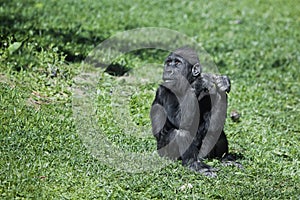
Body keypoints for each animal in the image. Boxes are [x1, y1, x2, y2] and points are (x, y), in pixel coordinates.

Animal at [150, 46, 232, 175]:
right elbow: (179, 120)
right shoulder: (165, 90)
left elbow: (214, 125)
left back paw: (224, 160)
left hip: (203, 155)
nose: (169, 70)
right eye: (168, 63)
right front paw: (201, 82)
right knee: (180, 133)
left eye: (177, 63)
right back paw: (194, 164)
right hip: (164, 154)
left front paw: (223, 83)